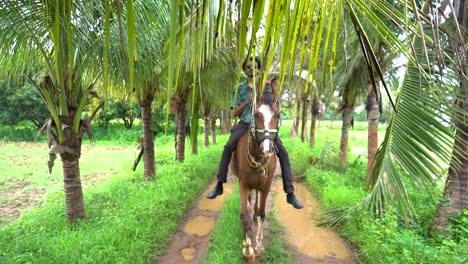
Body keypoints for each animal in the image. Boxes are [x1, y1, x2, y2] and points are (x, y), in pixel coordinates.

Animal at [231, 92, 280, 260]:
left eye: (277, 116)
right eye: (256, 115)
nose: (267, 149)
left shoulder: (267, 184)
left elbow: (262, 214)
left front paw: (258, 245)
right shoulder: (243, 183)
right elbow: (244, 215)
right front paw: (247, 249)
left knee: (257, 201)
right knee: (250, 200)